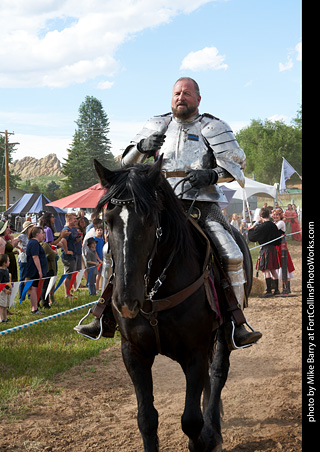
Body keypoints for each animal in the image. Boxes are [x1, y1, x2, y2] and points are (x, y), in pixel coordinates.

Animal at [94, 156, 254, 452]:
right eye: (108, 220)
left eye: (148, 220)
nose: (126, 300)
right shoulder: (134, 352)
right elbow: (146, 418)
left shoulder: (194, 352)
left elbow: (190, 420)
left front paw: (205, 439)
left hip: (223, 333)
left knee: (217, 373)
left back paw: (213, 427)